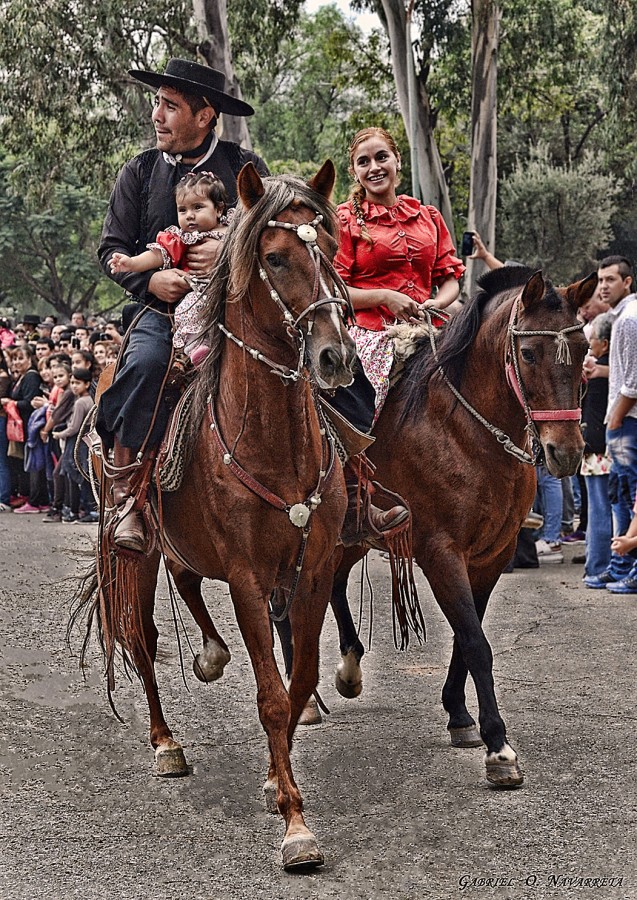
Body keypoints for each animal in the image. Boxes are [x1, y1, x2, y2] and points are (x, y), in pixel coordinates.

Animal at [83, 162, 358, 872]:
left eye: (331, 249)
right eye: (276, 256)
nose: (336, 358)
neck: (275, 444)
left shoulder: (313, 570)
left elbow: (298, 681)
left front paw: (274, 781)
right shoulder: (246, 577)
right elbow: (270, 695)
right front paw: (295, 826)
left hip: (185, 548)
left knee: (186, 587)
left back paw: (209, 653)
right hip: (140, 552)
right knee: (142, 640)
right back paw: (165, 742)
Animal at [330, 266, 592, 788]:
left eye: (585, 350)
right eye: (528, 353)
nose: (567, 452)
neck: (464, 432)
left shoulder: (492, 553)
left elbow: (465, 638)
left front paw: (459, 715)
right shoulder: (440, 551)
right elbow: (475, 642)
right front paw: (499, 747)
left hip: (358, 531)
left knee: (333, 581)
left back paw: (349, 669)